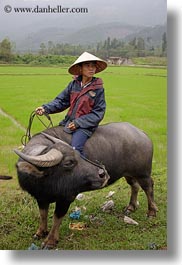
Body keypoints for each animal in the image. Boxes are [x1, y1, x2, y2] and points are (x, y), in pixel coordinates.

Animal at [14, 121, 156, 248]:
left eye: (78, 154)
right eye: (69, 162)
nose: (102, 173)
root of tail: (142, 134)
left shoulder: (66, 198)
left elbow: (57, 218)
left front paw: (50, 241)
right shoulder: (41, 197)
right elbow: (43, 215)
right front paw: (40, 232)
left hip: (143, 173)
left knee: (148, 187)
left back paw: (151, 212)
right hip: (129, 173)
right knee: (134, 185)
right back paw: (131, 207)